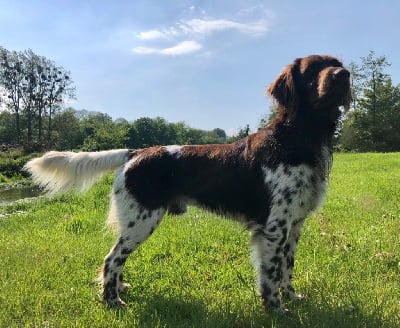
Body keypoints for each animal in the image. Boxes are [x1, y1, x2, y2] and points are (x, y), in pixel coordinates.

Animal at [24, 55, 350, 314]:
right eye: (312, 69)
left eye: (337, 63)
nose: (344, 75)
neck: (297, 138)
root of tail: (135, 152)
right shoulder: (272, 228)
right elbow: (270, 275)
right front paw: (276, 310)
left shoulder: (294, 225)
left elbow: (287, 269)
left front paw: (292, 298)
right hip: (142, 221)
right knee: (111, 259)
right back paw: (113, 302)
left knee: (115, 261)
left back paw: (120, 289)